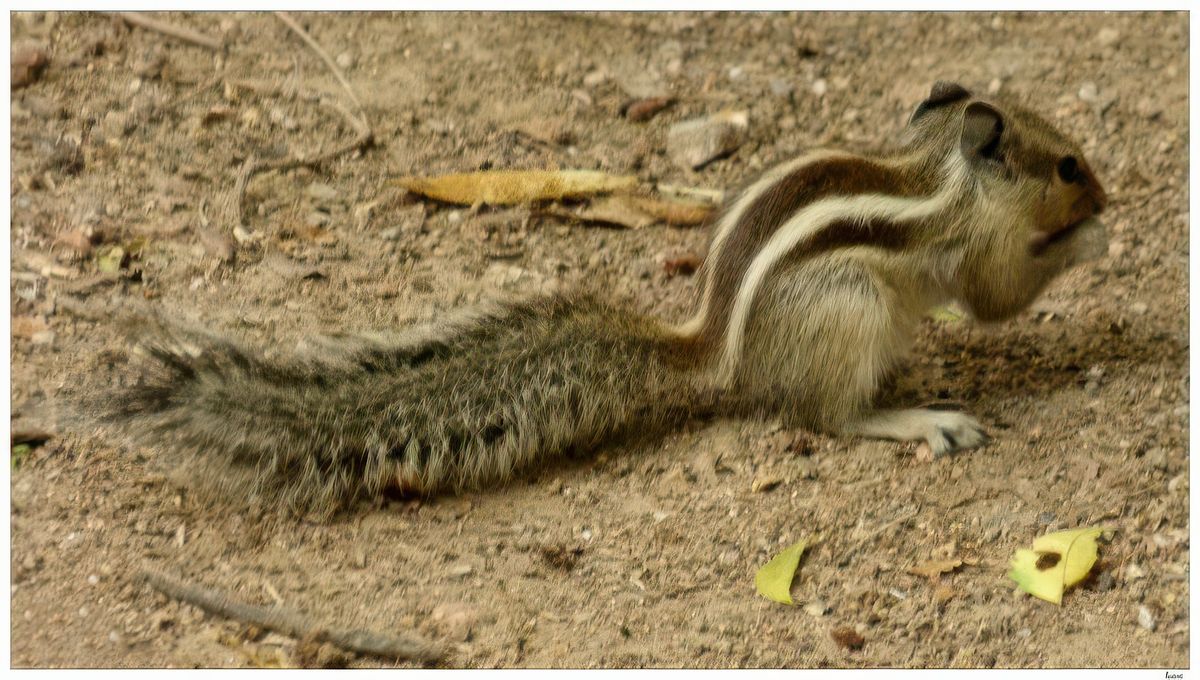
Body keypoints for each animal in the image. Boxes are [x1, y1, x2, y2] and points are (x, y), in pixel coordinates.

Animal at [101, 81, 1109, 517]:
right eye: (1066, 164)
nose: (1100, 191)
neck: (942, 175)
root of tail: (711, 346)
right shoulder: (973, 250)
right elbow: (999, 297)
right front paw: (1089, 239)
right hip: (849, 307)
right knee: (825, 416)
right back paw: (917, 416)